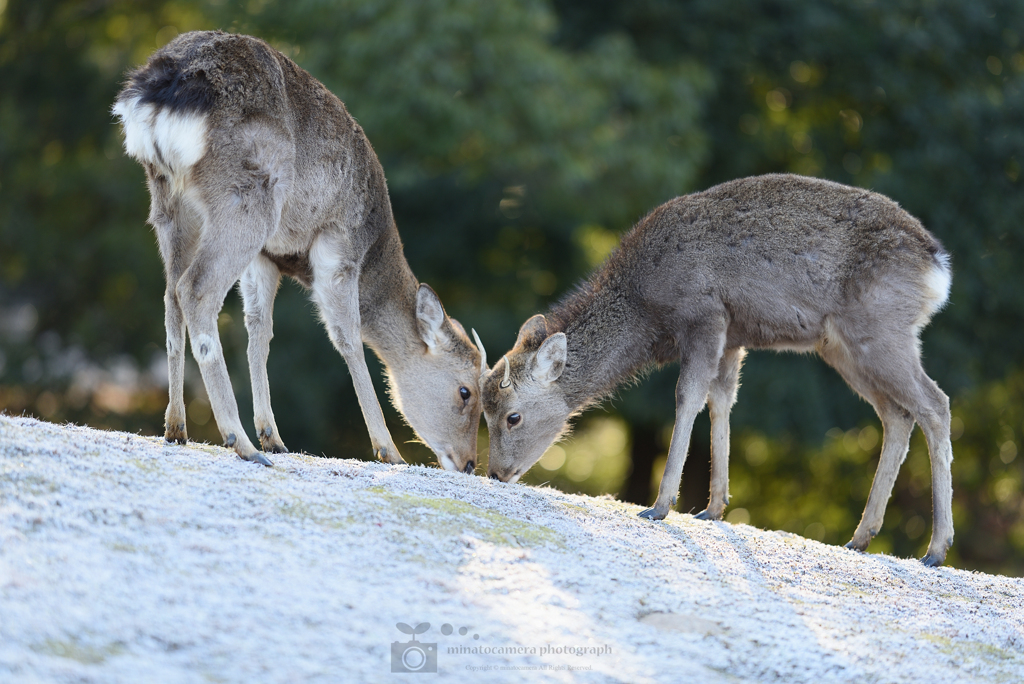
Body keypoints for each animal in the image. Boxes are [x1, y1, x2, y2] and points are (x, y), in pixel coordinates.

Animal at [110, 29, 485, 473]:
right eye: (466, 391)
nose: (469, 463)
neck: (375, 245)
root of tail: (158, 88)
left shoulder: (267, 258)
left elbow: (259, 331)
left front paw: (273, 435)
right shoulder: (338, 247)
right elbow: (348, 337)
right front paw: (387, 449)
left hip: (169, 203)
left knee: (170, 295)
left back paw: (177, 427)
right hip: (248, 197)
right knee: (195, 290)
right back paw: (240, 442)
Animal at [483, 172, 954, 565]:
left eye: (512, 416)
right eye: (483, 413)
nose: (496, 472)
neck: (646, 311)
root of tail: (938, 269)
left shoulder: (705, 314)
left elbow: (687, 396)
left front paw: (661, 506)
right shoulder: (734, 336)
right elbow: (721, 401)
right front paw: (713, 508)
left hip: (880, 330)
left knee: (935, 403)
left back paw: (935, 549)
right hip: (844, 347)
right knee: (898, 414)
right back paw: (861, 536)